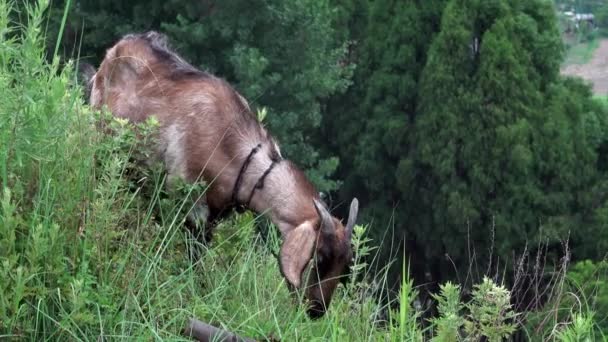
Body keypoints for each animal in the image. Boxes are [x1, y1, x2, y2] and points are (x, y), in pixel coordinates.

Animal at [88, 31, 358, 318]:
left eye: (345, 265)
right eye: (320, 257)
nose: (316, 310)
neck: (237, 151)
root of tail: (120, 45)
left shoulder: (215, 213)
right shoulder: (186, 198)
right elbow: (191, 254)